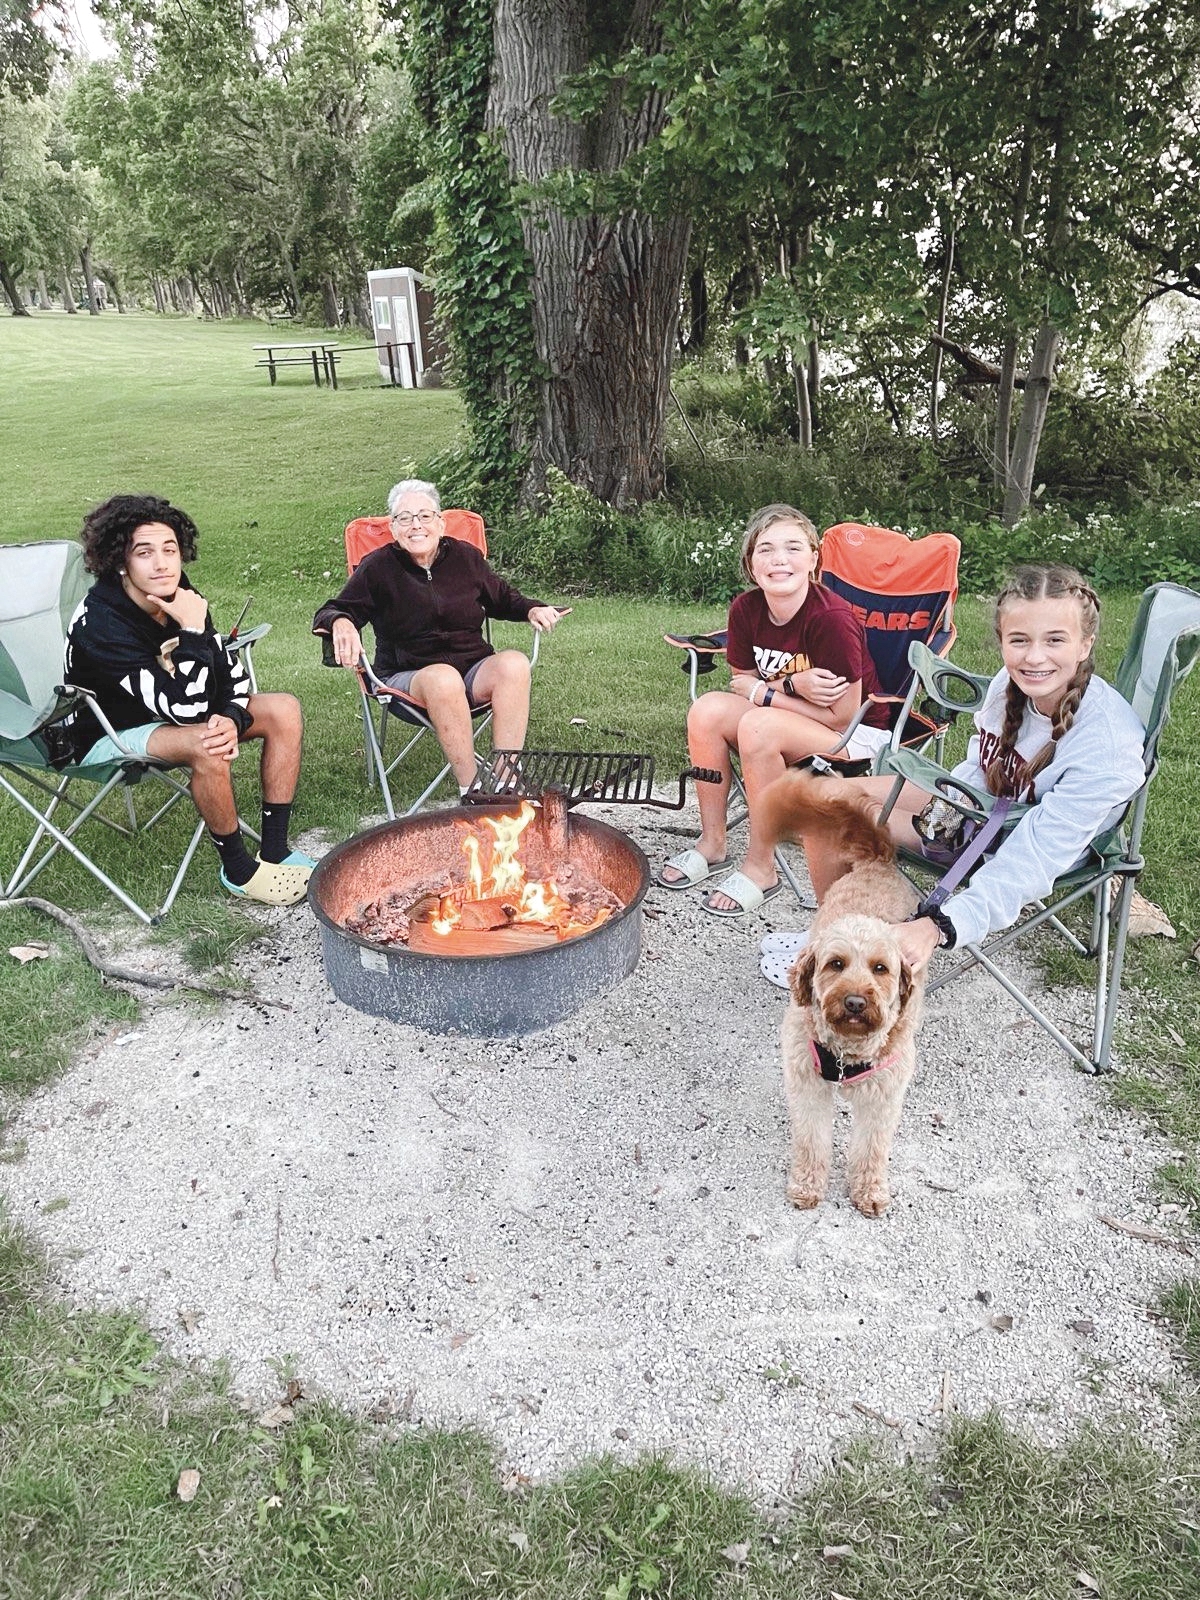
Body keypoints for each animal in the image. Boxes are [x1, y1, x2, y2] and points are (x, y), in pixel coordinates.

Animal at [764, 771, 928, 1209]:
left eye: (880, 969)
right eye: (835, 964)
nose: (854, 1002)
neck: (846, 1055)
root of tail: (878, 861)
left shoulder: (882, 1099)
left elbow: (872, 1147)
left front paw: (869, 1189)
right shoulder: (808, 1087)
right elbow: (811, 1141)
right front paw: (807, 1185)